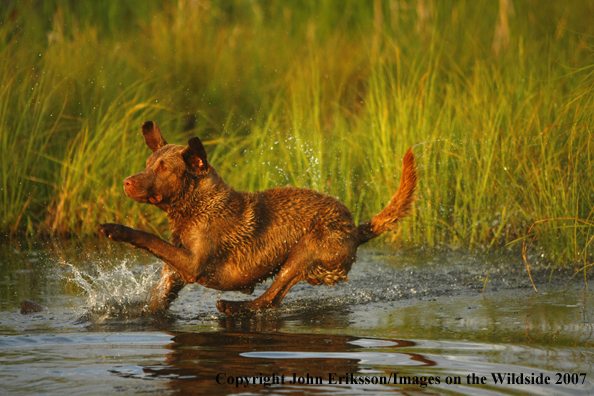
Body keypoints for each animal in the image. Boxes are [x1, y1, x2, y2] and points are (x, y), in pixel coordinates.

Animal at [100, 121, 416, 316]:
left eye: (164, 168)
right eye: (148, 164)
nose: (127, 182)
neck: (197, 206)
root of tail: (355, 228)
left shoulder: (193, 265)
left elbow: (149, 237)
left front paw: (115, 228)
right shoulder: (173, 275)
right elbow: (155, 301)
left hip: (307, 249)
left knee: (271, 298)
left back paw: (235, 307)